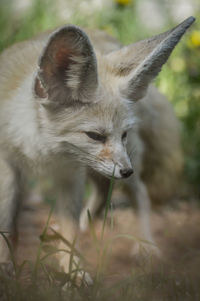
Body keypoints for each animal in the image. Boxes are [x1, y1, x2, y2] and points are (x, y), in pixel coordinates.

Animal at [0, 17, 195, 272]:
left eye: (123, 134)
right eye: (94, 136)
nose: (127, 171)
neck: (44, 154)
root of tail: (104, 37)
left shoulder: (71, 174)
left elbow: (69, 228)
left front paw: (72, 269)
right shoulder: (9, 167)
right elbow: (6, 220)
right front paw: (6, 262)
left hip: (116, 165)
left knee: (140, 194)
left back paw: (145, 245)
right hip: (99, 169)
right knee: (103, 191)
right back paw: (87, 224)